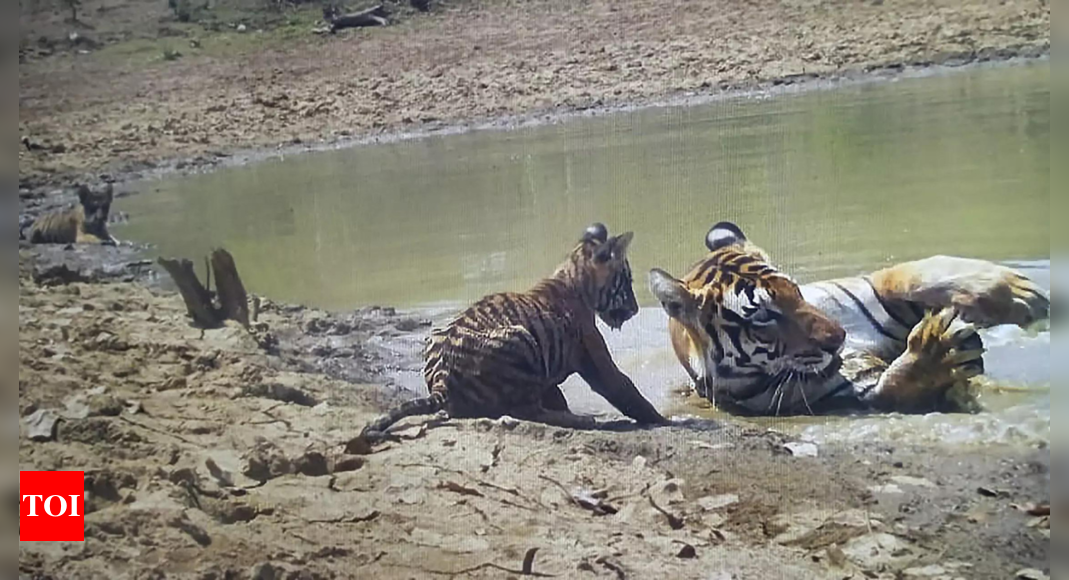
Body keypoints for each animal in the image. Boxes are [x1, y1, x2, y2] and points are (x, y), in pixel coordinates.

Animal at [359, 224, 667, 442]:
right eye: (626, 280)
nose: (635, 308)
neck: (573, 277)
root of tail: (441, 383)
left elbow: (556, 393)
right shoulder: (595, 357)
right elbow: (626, 390)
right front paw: (665, 420)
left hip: (436, 333)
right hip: (520, 338)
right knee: (525, 411)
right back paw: (582, 420)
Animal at [645, 220, 1047, 414]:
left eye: (794, 290)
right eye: (762, 318)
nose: (837, 338)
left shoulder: (878, 292)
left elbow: (915, 274)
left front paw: (1015, 293)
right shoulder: (854, 392)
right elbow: (894, 385)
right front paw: (939, 352)